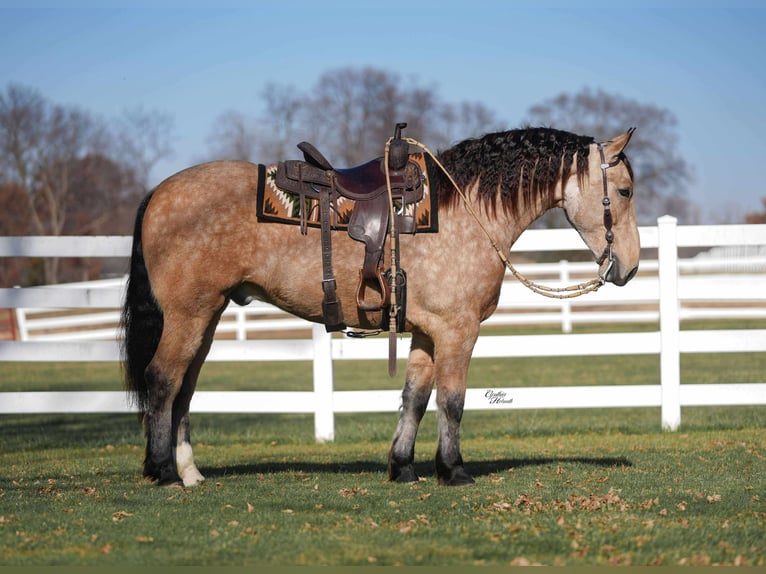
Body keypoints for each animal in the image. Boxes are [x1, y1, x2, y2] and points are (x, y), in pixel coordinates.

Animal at [121, 126, 640, 487]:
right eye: (626, 191)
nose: (630, 268)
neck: (464, 211)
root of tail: (160, 192)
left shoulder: (428, 331)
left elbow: (415, 398)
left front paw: (404, 467)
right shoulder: (458, 330)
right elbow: (452, 401)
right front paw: (454, 470)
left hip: (206, 318)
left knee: (185, 388)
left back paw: (189, 471)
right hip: (189, 315)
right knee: (163, 380)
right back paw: (162, 471)